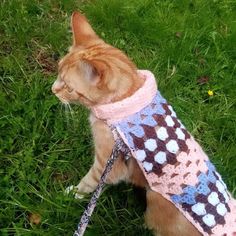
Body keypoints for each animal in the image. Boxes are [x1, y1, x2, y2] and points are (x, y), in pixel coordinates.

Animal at [51, 12, 199, 235]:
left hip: (154, 202)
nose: (52, 90)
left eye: (68, 87)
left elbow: (88, 183)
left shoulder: (106, 166)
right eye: (58, 71)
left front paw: (71, 194)